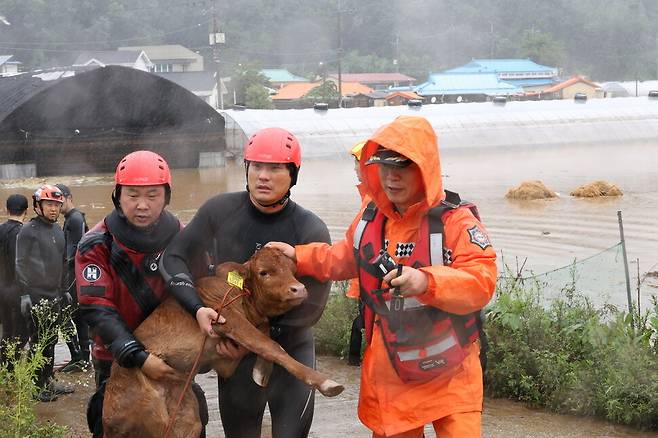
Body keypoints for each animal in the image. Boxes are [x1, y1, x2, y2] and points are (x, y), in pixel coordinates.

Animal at [102, 248, 344, 436]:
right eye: (264, 272)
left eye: (293, 270)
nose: (299, 289)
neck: (244, 296)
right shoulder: (228, 319)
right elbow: (271, 345)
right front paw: (325, 382)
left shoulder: (227, 358)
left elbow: (265, 335)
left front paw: (261, 370)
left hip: (186, 419)